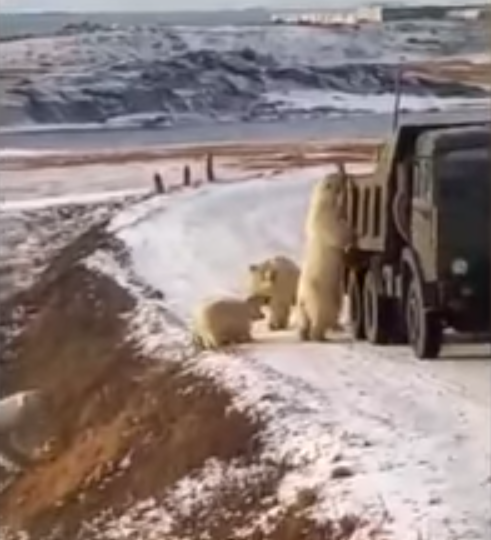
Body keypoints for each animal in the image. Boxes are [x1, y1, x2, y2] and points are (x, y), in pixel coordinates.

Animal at [294, 172, 356, 342]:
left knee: (305, 319)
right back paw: (320, 335)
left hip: (303, 303)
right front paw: (353, 232)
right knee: (322, 313)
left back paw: (304, 333)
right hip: (320, 295)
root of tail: (303, 299)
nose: (345, 175)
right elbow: (338, 233)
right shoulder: (325, 219)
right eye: (334, 177)